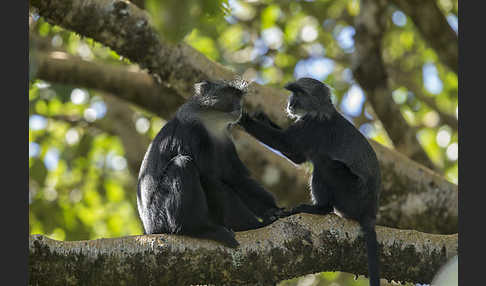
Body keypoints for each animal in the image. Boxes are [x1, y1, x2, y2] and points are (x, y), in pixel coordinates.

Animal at [136, 79, 280, 248]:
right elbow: (208, 178)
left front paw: (275, 211)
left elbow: (236, 179)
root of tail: (149, 229)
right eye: (231, 94)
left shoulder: (225, 140)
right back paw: (197, 229)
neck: (211, 122)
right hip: (159, 215)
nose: (239, 107)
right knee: (182, 164)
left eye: (239, 97)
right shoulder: (195, 132)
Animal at [237, 76, 382, 286]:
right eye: (292, 93)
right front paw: (261, 117)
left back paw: (320, 208)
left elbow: (288, 147)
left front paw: (243, 117)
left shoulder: (312, 127)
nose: (290, 104)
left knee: (322, 162)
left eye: (298, 93)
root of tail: (370, 211)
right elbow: (295, 155)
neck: (321, 110)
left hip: (350, 192)